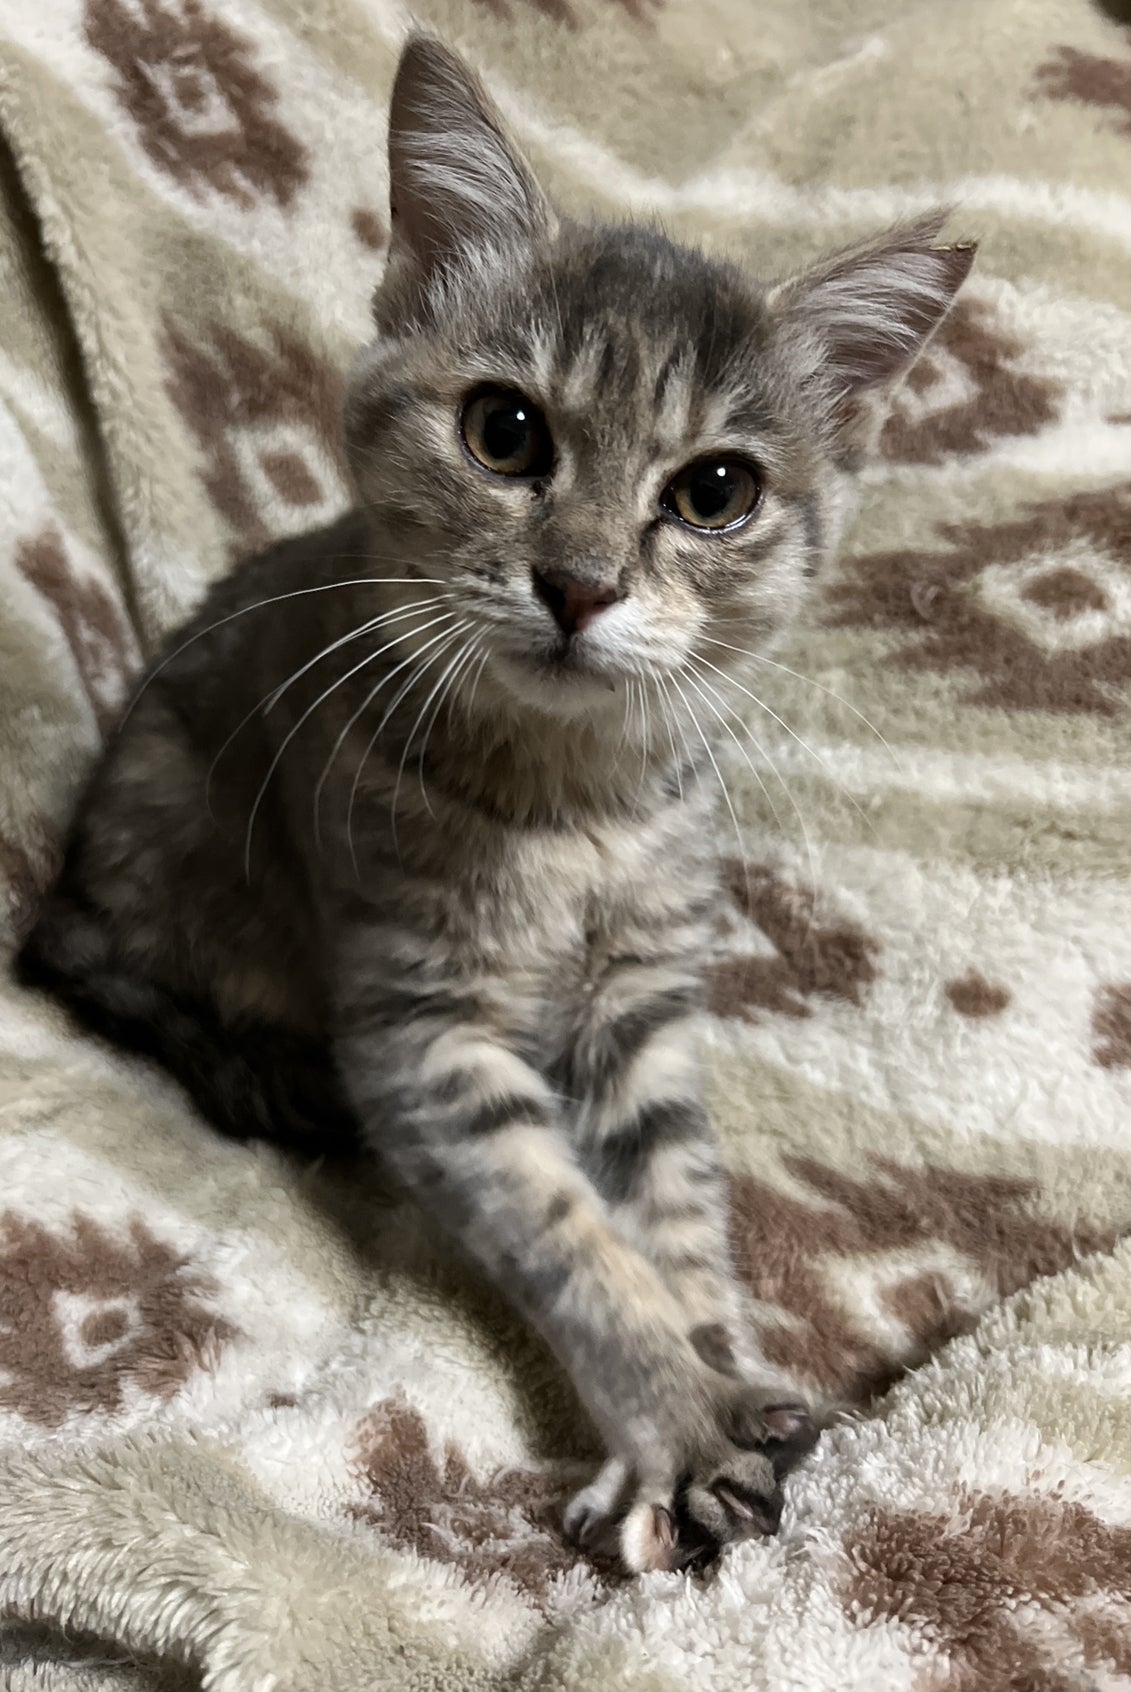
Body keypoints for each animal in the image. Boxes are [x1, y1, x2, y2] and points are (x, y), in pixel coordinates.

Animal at [18, 34, 974, 1573]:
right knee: (96, 960)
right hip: (163, 824)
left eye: (715, 490)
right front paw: (672, 1419)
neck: (573, 809)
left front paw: (723, 1369)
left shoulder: (643, 1008)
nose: (579, 583)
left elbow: (674, 1206)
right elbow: (570, 1233)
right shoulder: (425, 1030)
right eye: (505, 432)